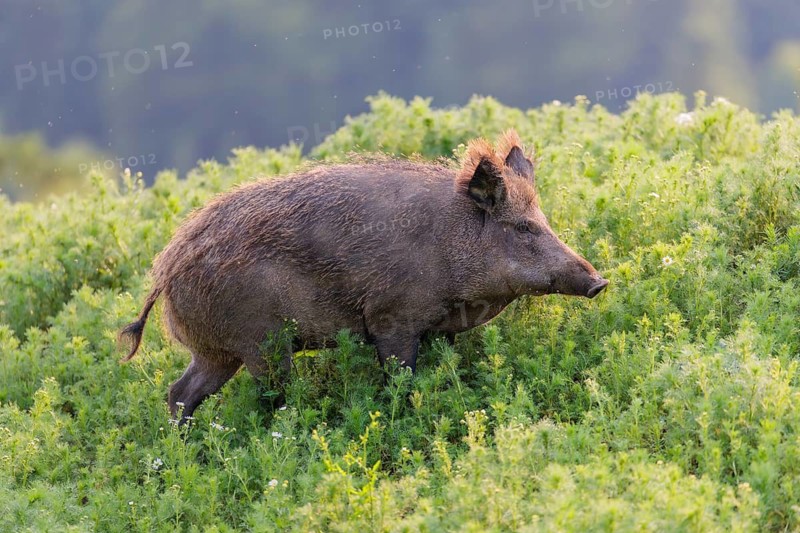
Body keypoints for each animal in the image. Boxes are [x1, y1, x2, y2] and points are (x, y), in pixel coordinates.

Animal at [119, 130, 608, 420]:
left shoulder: (442, 329)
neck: (449, 245)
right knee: (266, 398)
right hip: (262, 345)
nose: (599, 282)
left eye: (543, 219)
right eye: (522, 227)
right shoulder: (391, 320)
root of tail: (166, 269)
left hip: (218, 353)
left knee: (179, 392)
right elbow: (401, 378)